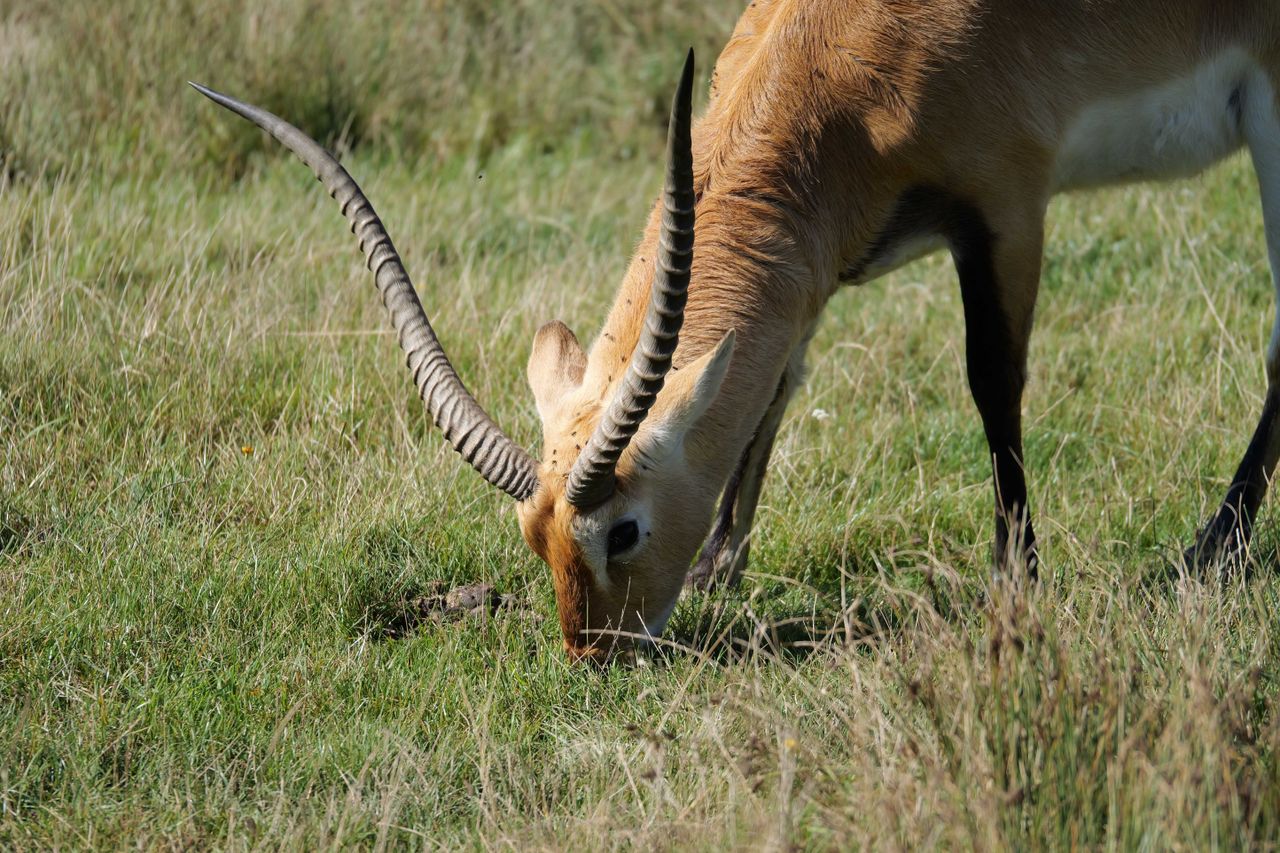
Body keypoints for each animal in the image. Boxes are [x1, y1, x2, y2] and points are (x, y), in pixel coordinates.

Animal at [194, 0, 1280, 661]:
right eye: (532, 533)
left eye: (622, 528)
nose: (592, 654)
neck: (850, 59)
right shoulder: (808, 272)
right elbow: (774, 387)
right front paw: (722, 569)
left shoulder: (1007, 207)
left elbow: (992, 380)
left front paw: (1015, 581)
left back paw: (1212, 549)